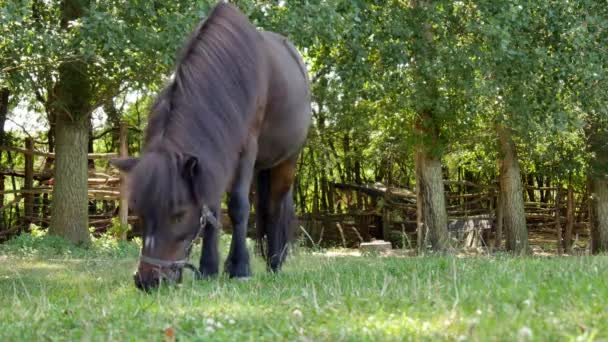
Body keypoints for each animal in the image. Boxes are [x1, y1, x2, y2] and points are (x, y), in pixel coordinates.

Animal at [109, 3, 312, 292]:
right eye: (140, 211)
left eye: (179, 214)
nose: (148, 281)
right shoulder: (211, 164)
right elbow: (211, 210)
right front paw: (208, 268)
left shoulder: (245, 151)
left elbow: (238, 206)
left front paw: (239, 268)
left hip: (287, 161)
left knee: (274, 207)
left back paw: (274, 264)